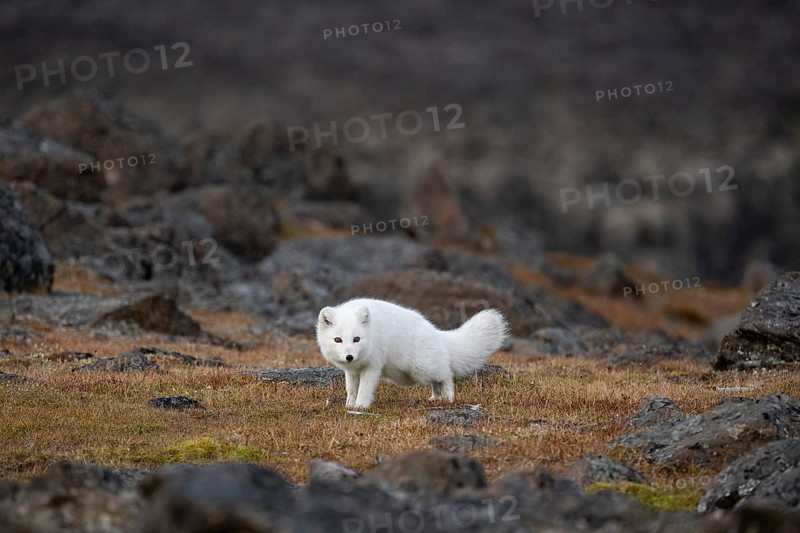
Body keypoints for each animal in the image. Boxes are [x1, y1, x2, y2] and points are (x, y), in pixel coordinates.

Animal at [316, 298, 509, 409]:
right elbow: (351, 389)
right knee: (436, 382)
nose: (349, 357)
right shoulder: (352, 371)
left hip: (421, 368)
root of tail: (437, 332)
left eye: (356, 339)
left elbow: (365, 388)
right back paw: (436, 399)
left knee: (446, 375)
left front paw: (361, 406)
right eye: (338, 340)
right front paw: (349, 405)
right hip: (412, 374)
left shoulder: (373, 366)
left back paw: (448, 398)